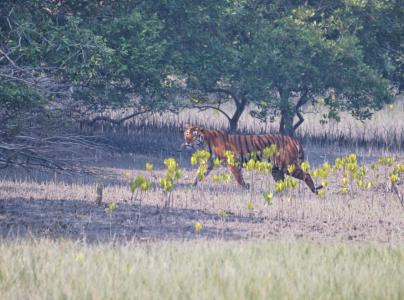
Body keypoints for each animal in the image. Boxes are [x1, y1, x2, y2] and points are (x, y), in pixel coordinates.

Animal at [181, 124, 324, 195]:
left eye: (193, 136)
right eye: (186, 134)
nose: (187, 142)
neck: (205, 142)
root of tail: (293, 139)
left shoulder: (233, 161)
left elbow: (238, 177)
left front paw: (246, 187)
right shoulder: (209, 163)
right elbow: (199, 175)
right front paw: (192, 186)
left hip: (288, 166)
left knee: (306, 175)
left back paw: (315, 191)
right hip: (276, 169)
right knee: (281, 182)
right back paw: (276, 193)